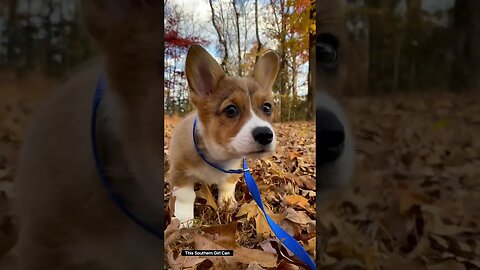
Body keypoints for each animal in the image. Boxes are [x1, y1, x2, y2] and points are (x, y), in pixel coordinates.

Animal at [169, 45, 282, 227]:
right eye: (231, 110)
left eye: (267, 107)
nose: (265, 135)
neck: (219, 156)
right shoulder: (180, 172)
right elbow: (186, 196)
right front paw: (184, 220)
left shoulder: (235, 169)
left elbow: (228, 185)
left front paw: (227, 203)